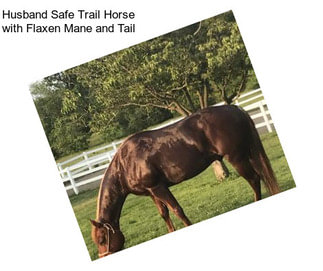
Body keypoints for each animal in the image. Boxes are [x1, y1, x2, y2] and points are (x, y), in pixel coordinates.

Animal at [90, 105, 280, 258]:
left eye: (102, 239)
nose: (104, 256)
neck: (125, 163)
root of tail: (236, 109)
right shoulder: (151, 192)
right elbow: (164, 213)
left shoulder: (158, 187)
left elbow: (177, 210)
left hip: (237, 158)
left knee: (254, 179)